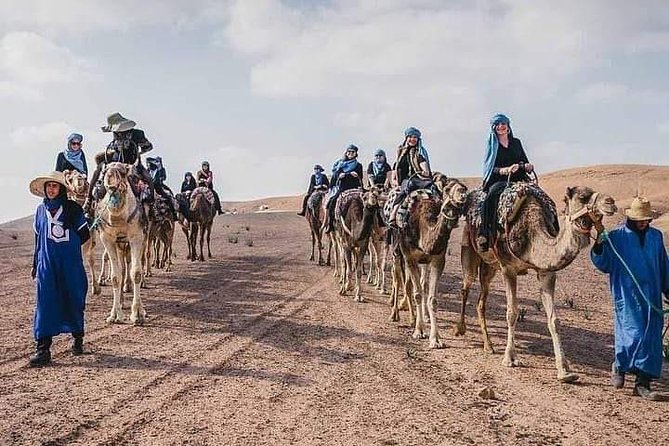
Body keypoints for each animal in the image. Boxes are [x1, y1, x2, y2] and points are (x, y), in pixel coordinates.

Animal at [94, 162, 147, 325]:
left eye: (123, 172)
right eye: (105, 170)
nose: (110, 177)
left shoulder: (136, 236)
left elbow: (136, 273)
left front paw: (137, 314)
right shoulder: (107, 238)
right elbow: (115, 277)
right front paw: (115, 315)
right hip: (119, 245)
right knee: (122, 269)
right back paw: (122, 302)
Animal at [385, 174, 468, 349]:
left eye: (464, 187)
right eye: (447, 188)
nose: (462, 193)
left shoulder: (437, 259)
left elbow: (432, 298)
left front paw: (435, 339)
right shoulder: (410, 257)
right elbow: (416, 294)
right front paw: (418, 330)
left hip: (423, 262)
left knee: (420, 285)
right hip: (397, 251)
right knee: (398, 279)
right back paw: (395, 314)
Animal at [456, 184, 617, 383]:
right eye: (582, 197)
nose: (611, 202)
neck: (531, 234)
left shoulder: (546, 272)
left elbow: (554, 320)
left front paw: (564, 370)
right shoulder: (508, 269)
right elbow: (512, 313)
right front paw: (510, 358)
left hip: (490, 266)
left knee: (480, 302)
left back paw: (489, 345)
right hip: (470, 250)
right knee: (465, 287)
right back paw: (460, 329)